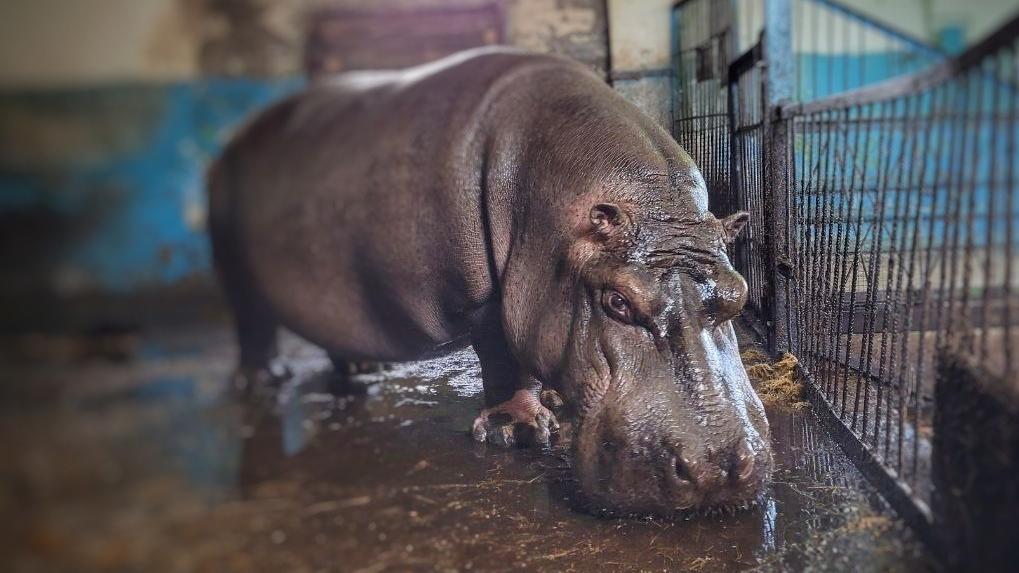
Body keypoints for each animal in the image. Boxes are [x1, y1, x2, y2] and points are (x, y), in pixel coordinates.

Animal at [210, 47, 774, 513]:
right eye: (616, 300)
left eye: (740, 295)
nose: (718, 470)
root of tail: (237, 139)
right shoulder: (482, 299)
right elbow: (502, 355)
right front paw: (518, 431)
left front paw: (549, 405)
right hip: (234, 264)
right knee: (250, 320)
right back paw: (265, 381)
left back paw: (361, 367)